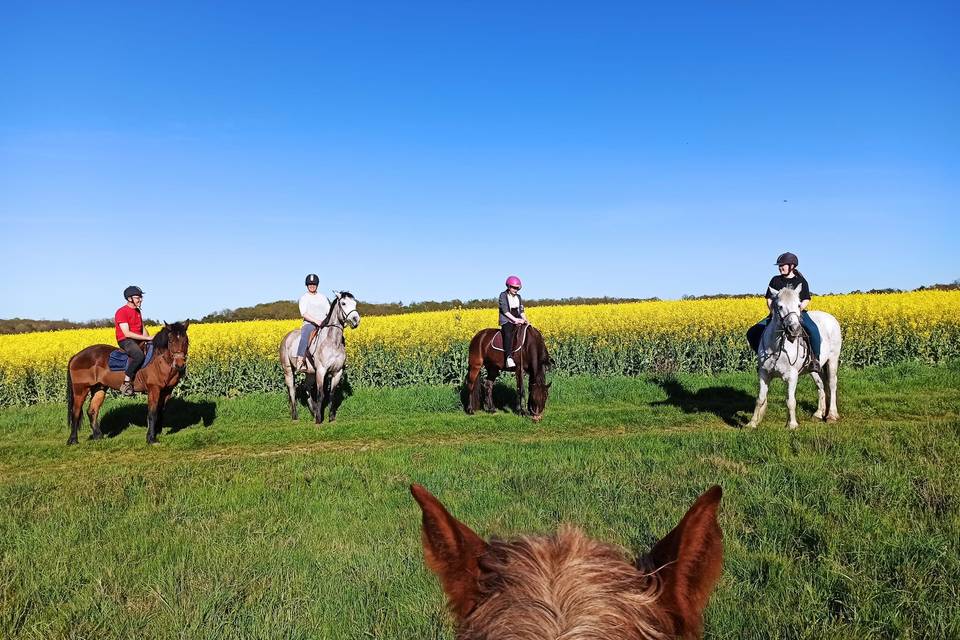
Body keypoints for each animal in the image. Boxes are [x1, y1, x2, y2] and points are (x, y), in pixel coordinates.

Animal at [284, 292, 364, 422]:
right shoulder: (321, 371)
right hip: (288, 369)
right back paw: (295, 416)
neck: (333, 341)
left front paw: (330, 417)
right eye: (343, 303)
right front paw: (319, 419)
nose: (356, 320)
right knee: (292, 390)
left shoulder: (337, 371)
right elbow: (320, 394)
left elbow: (332, 394)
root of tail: (286, 337)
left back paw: (313, 410)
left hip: (310, 372)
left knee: (306, 387)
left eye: (354, 303)